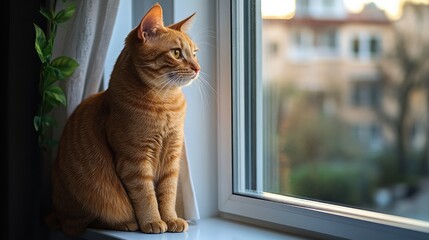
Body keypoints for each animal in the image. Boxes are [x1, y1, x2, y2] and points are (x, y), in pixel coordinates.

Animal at [49, 3, 199, 236]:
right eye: (176, 53)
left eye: (194, 53)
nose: (197, 68)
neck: (165, 104)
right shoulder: (135, 161)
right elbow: (146, 195)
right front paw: (153, 221)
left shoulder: (172, 157)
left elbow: (167, 193)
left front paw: (171, 219)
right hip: (82, 203)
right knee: (82, 222)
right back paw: (126, 223)